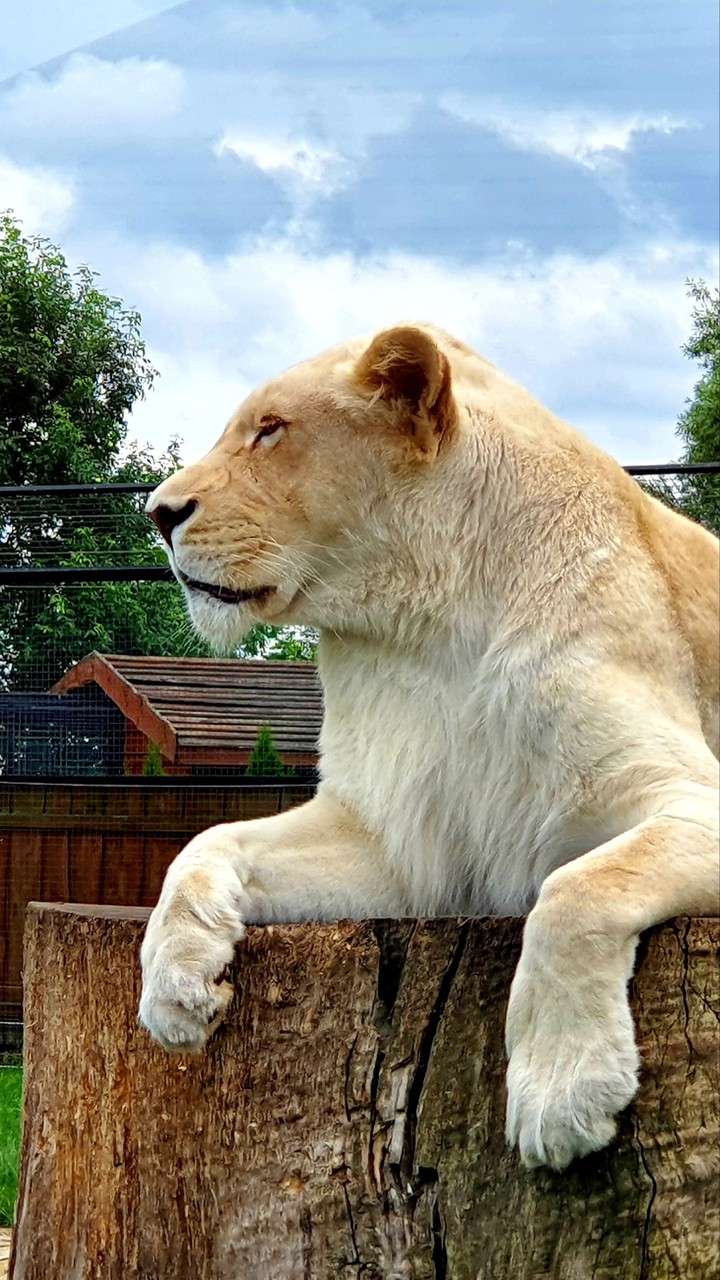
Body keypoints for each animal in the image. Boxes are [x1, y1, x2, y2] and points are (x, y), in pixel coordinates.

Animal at [139, 323, 719, 1171]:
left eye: (271, 429)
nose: (157, 513)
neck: (426, 631)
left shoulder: (686, 795)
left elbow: (577, 889)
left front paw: (563, 1093)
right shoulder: (397, 842)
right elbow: (206, 841)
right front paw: (173, 983)